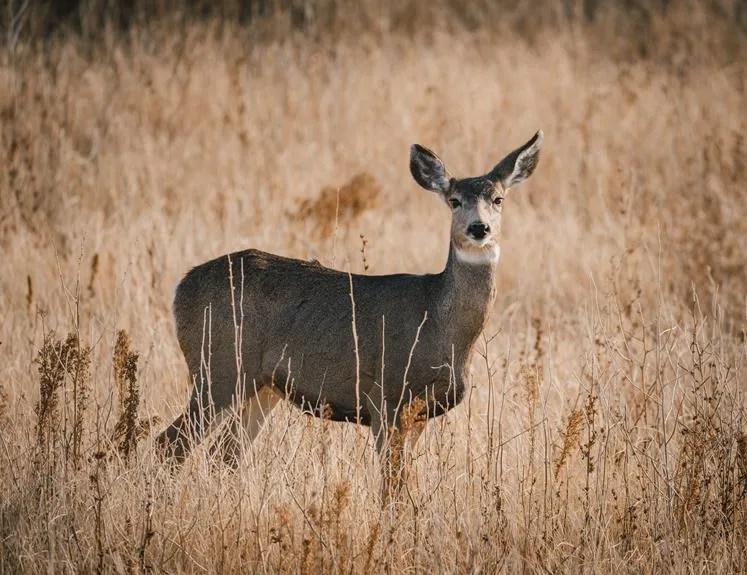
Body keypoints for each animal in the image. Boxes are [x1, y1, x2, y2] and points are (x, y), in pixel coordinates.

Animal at [157, 131, 543, 499]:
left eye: (498, 199)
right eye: (454, 200)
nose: (479, 228)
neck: (439, 322)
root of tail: (180, 287)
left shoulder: (420, 413)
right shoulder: (385, 397)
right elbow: (392, 486)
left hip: (260, 387)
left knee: (223, 455)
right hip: (217, 367)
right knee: (170, 445)